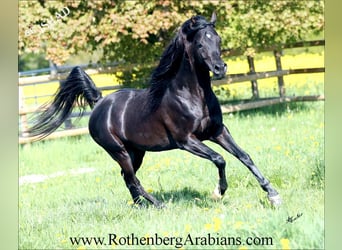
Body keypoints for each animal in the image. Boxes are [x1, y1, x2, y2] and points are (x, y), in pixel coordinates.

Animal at [28, 13, 280, 208]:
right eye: (200, 44)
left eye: (217, 39)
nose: (220, 68)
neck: (192, 97)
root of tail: (99, 104)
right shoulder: (186, 141)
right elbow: (220, 159)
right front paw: (218, 192)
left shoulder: (217, 131)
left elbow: (244, 156)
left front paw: (273, 195)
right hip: (118, 151)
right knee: (132, 179)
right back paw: (158, 205)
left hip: (136, 152)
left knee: (127, 178)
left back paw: (140, 206)